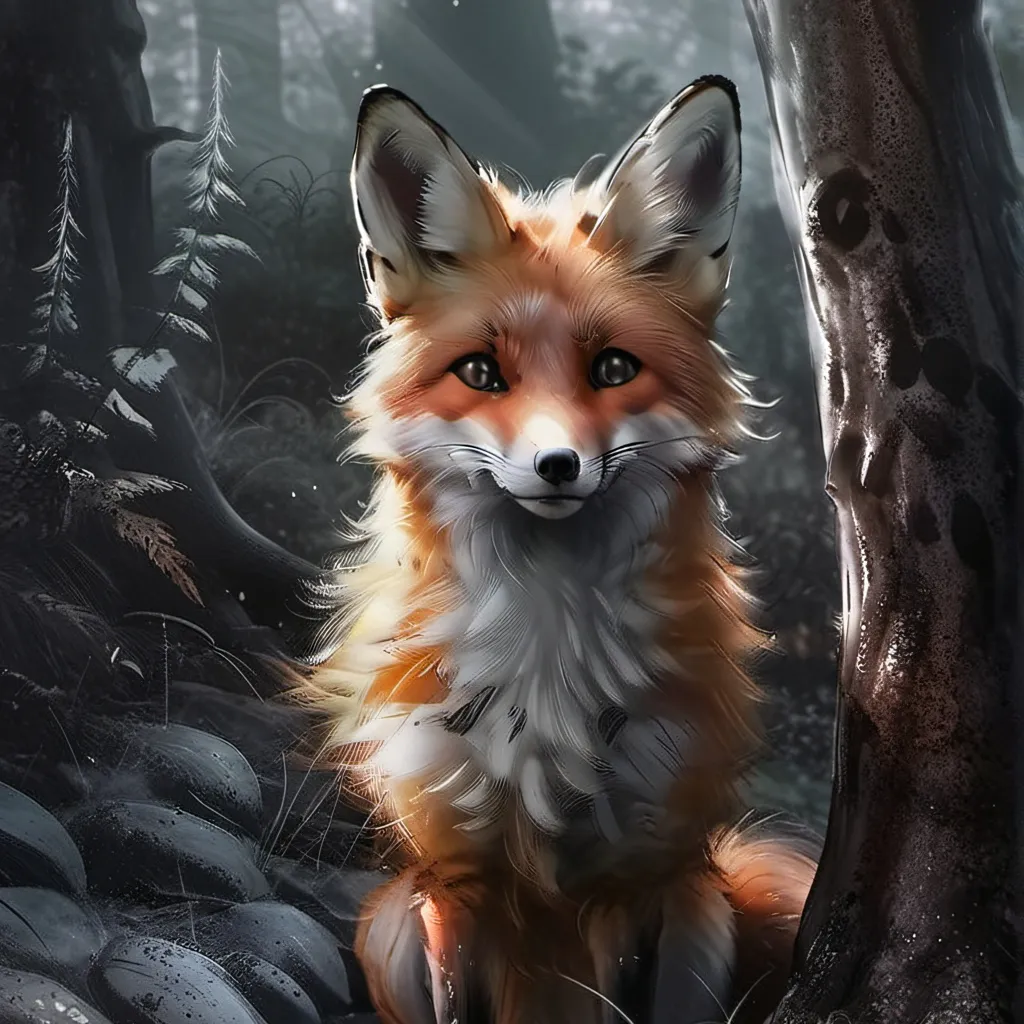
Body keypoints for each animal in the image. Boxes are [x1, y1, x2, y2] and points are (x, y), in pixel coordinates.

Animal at [297, 77, 819, 1024]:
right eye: (481, 373)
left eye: (613, 369)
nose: (557, 465)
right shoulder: (454, 882)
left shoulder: (636, 877)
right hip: (389, 925)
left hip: (701, 914)